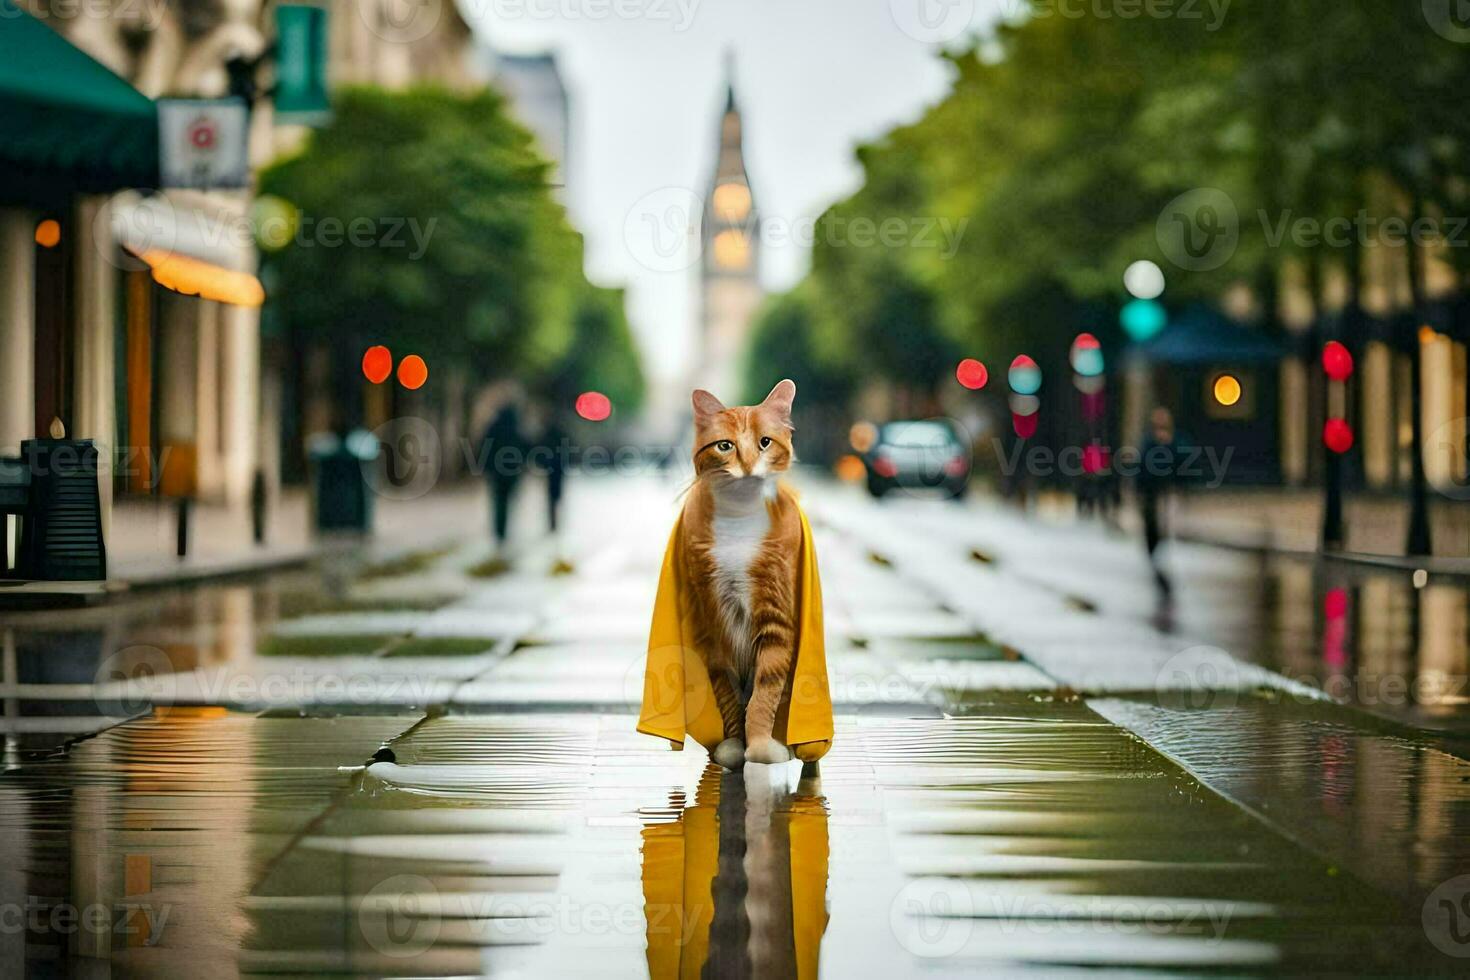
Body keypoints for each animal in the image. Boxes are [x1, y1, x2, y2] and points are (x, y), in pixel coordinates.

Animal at [685, 379, 811, 769]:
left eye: (765, 442)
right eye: (725, 446)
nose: (748, 466)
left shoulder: (775, 621)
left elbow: (764, 693)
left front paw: (759, 746)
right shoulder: (712, 624)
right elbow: (726, 694)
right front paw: (733, 746)